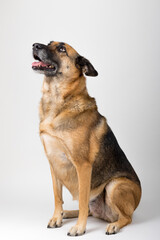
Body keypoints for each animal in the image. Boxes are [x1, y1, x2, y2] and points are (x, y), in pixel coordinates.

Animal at [31, 41, 141, 236]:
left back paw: (114, 225)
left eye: (61, 49)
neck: (57, 101)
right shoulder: (54, 163)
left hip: (115, 185)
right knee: (90, 210)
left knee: (127, 217)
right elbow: (57, 196)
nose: (35, 45)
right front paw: (57, 217)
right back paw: (66, 213)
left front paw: (79, 228)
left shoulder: (82, 166)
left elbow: (82, 200)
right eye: (49, 43)